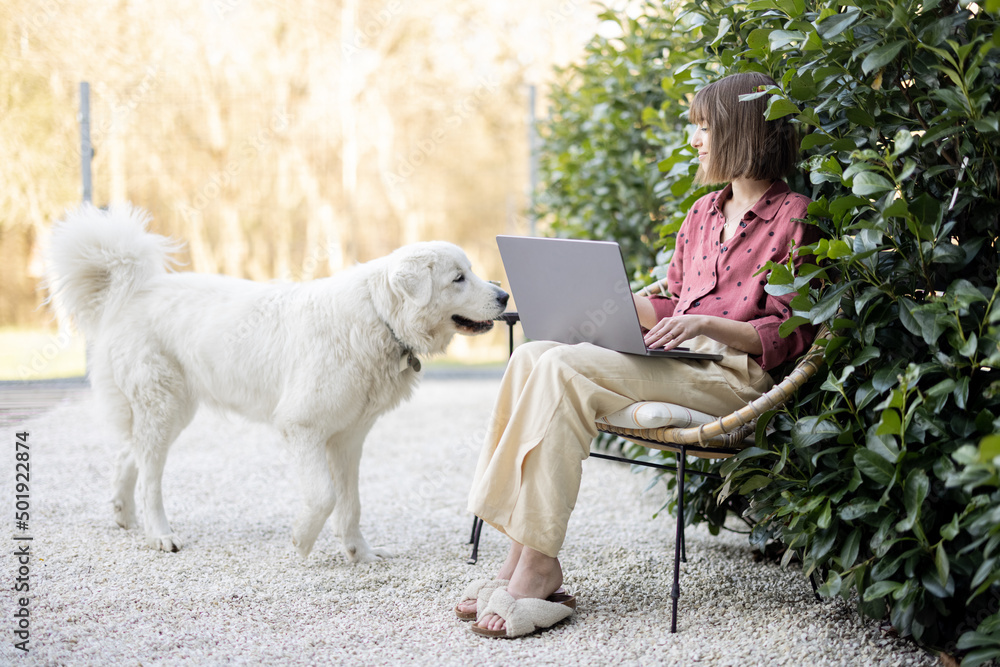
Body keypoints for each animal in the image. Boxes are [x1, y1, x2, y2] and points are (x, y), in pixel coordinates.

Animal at [44, 204, 508, 564]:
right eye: (458, 278)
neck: (379, 317)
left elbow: (351, 504)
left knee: (131, 454)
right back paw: (160, 534)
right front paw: (301, 541)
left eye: (469, 272)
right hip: (164, 404)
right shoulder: (302, 427)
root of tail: (136, 289)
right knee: (150, 475)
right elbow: (323, 497)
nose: (504, 297)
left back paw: (124, 515)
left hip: (171, 409)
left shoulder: (348, 437)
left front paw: (360, 554)